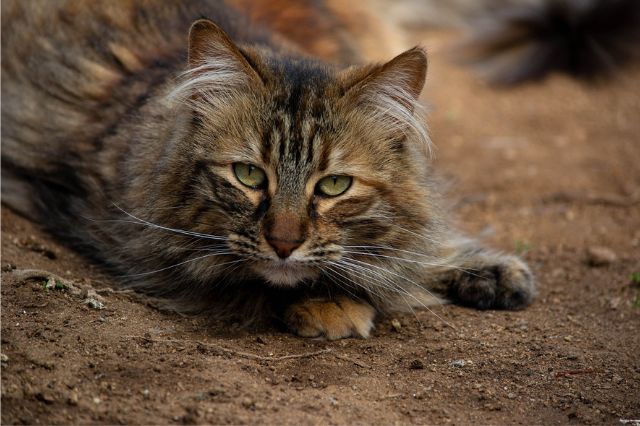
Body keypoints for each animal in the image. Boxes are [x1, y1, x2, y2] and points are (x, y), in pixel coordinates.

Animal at [1, 0, 536, 340]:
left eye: (334, 185)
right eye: (249, 176)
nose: (283, 243)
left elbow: (413, 243)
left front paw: (483, 268)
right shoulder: (137, 244)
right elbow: (250, 280)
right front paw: (334, 304)